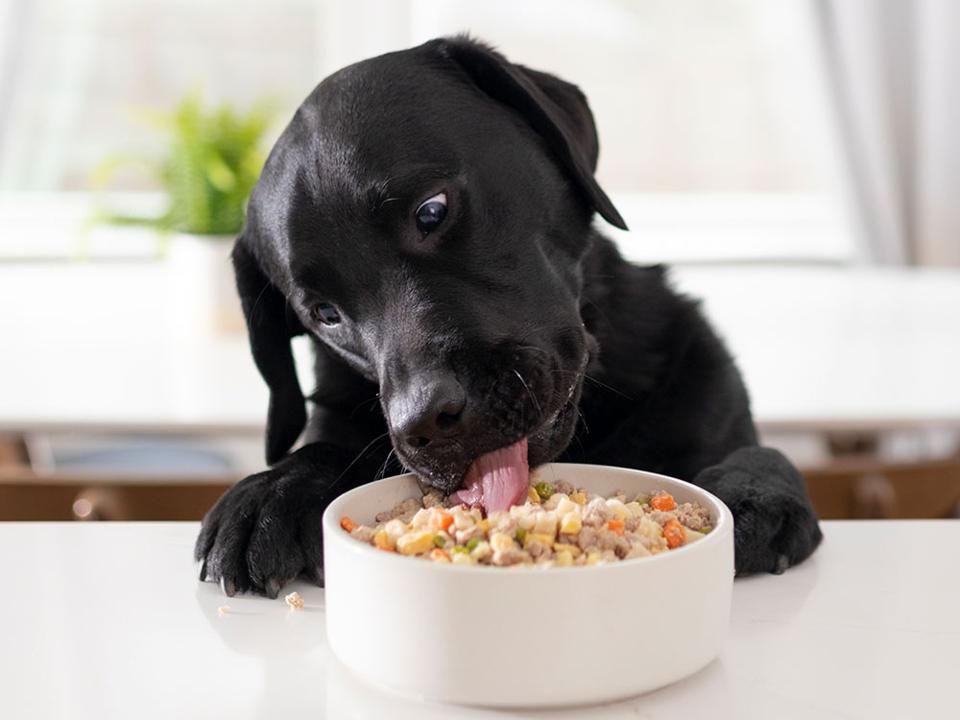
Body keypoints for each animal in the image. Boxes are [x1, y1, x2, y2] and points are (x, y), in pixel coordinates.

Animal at [197, 36, 824, 596]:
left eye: (431, 211)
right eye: (324, 313)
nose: (426, 423)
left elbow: (762, 451)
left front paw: (750, 492)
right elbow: (320, 449)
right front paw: (272, 492)